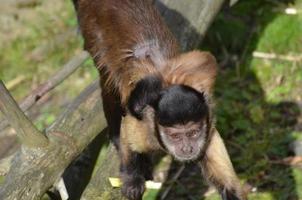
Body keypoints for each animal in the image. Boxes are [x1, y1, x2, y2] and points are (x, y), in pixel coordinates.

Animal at [72, 0, 245, 200]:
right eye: (175, 136)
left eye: (193, 133)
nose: (187, 149)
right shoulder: (144, 128)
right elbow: (128, 136)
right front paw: (132, 177)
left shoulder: (208, 126)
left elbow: (228, 185)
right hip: (91, 29)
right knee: (109, 81)